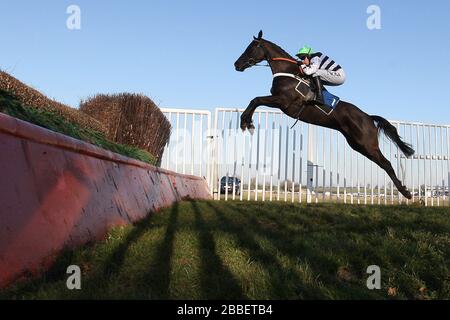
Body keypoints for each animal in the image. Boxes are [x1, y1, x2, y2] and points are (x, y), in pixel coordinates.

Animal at [236, 30, 414, 200]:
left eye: (251, 47)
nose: (236, 64)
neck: (288, 72)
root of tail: (368, 117)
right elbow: (255, 100)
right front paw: (247, 122)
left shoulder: (283, 101)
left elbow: (256, 100)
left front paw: (246, 122)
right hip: (358, 145)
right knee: (383, 163)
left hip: (368, 144)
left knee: (387, 164)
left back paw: (406, 192)